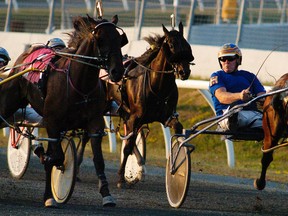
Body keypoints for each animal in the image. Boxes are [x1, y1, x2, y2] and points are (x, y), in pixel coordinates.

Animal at [0, 14, 126, 207]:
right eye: (100, 39)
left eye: (120, 40)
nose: (117, 71)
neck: (79, 84)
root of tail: (28, 53)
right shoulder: (53, 123)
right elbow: (56, 158)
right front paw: (49, 194)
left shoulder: (94, 123)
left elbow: (98, 160)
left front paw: (106, 194)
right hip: (9, 101)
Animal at [106, 22, 194, 187]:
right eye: (171, 45)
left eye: (187, 44)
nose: (184, 72)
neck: (157, 85)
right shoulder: (135, 118)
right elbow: (127, 148)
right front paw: (121, 178)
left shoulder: (166, 116)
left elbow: (177, 128)